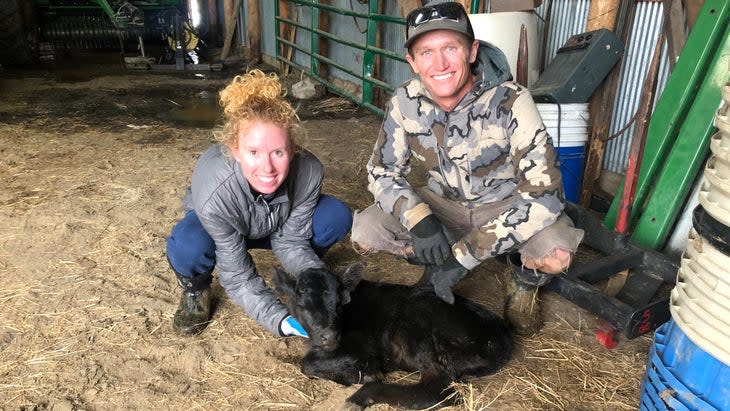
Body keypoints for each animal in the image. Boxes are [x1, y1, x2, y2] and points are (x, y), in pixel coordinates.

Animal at [272, 262, 512, 410]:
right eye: (302, 306)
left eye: (339, 304)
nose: (330, 336)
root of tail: (501, 335)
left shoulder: (363, 349)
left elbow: (307, 364)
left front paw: (358, 375)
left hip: (416, 330)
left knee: (438, 390)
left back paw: (359, 397)